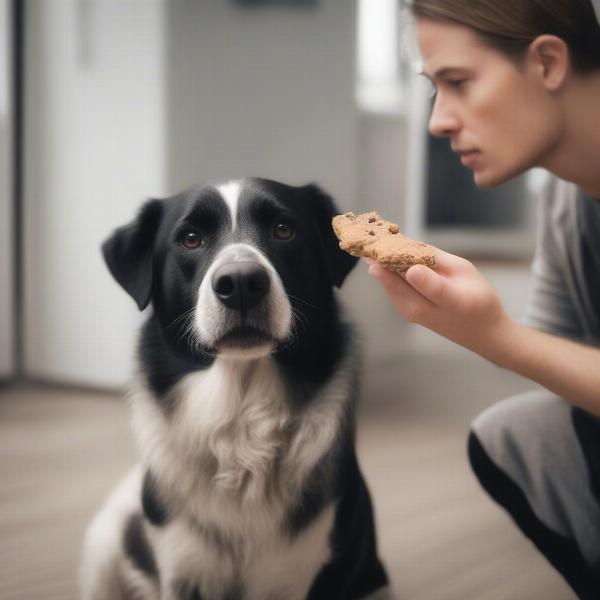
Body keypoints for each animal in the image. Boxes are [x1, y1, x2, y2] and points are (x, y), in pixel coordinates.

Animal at [81, 178, 390, 600]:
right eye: (190, 238)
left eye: (284, 229)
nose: (241, 283)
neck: (240, 415)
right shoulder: (182, 572)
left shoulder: (298, 573)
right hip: (103, 553)